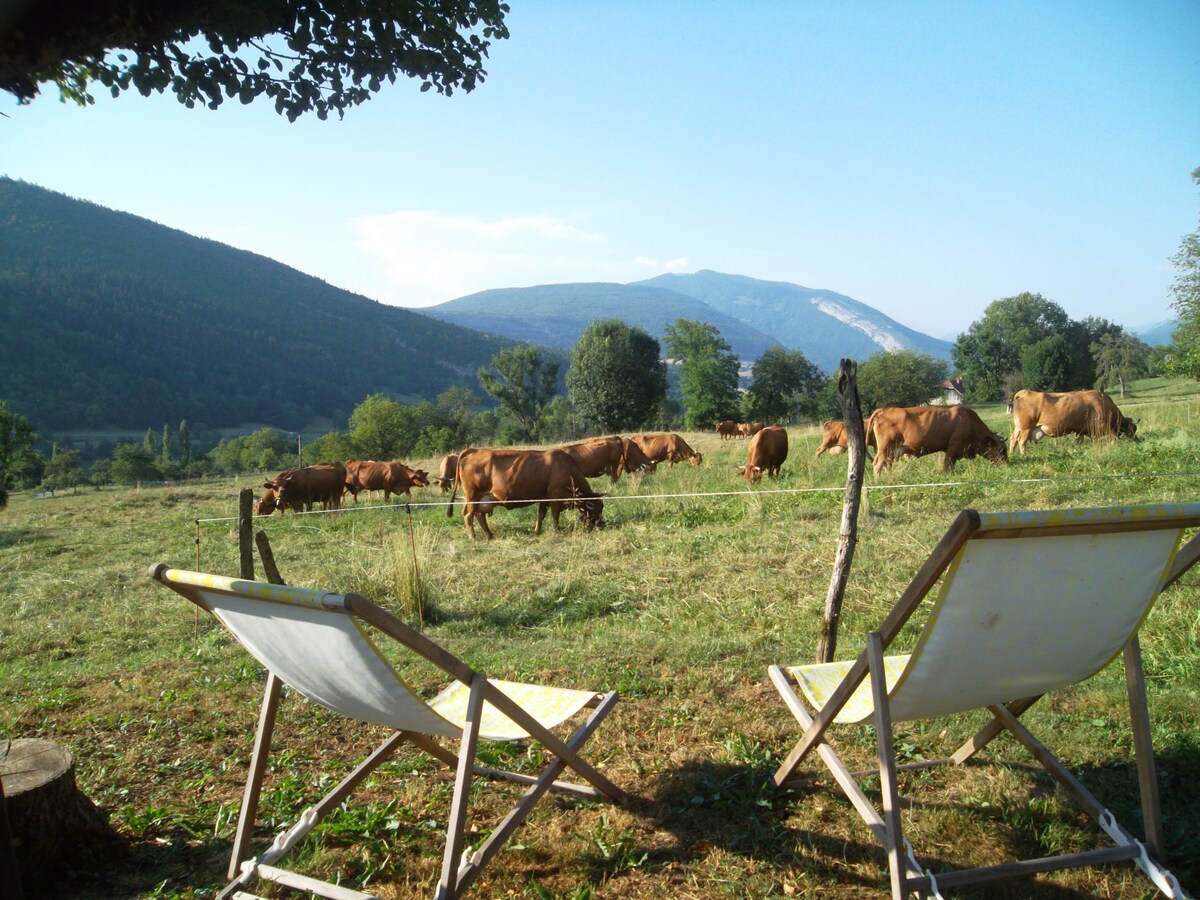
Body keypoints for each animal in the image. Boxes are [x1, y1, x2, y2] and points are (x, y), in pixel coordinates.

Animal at [448, 446, 604, 540]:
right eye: (598, 508)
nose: (601, 524)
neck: (567, 468)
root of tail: (476, 450)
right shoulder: (555, 496)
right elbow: (555, 514)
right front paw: (557, 529)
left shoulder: (544, 497)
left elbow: (541, 514)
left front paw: (537, 530)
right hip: (472, 496)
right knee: (468, 516)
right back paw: (473, 537)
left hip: (483, 499)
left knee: (480, 516)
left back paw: (489, 535)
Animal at [868, 408, 1008, 480]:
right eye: (1002, 450)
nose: (1007, 466)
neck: (968, 421)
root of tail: (884, 410)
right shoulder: (953, 447)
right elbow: (947, 464)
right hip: (884, 448)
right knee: (878, 463)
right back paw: (878, 481)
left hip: (891, 450)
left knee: (887, 463)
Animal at [1008, 388, 1137, 458]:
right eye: (1132, 431)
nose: (1136, 441)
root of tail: (1024, 392)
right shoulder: (1104, 425)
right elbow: (1114, 437)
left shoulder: (1081, 430)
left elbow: (1079, 441)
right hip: (1026, 428)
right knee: (1022, 442)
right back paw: (1024, 455)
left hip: (1018, 428)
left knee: (1013, 440)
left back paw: (1012, 454)